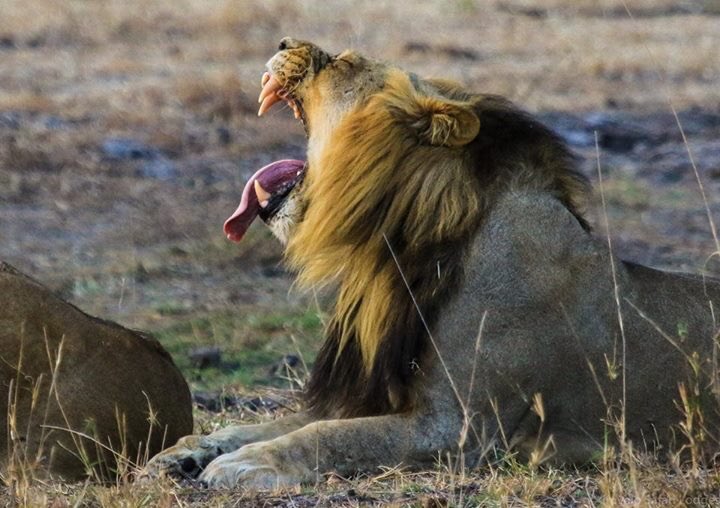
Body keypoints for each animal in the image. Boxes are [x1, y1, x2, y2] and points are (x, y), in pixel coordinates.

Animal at [145, 38, 720, 488]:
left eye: (345, 62)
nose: (284, 42)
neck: (396, 247)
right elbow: (273, 422)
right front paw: (186, 451)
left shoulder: (455, 428)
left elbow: (326, 434)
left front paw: (246, 465)